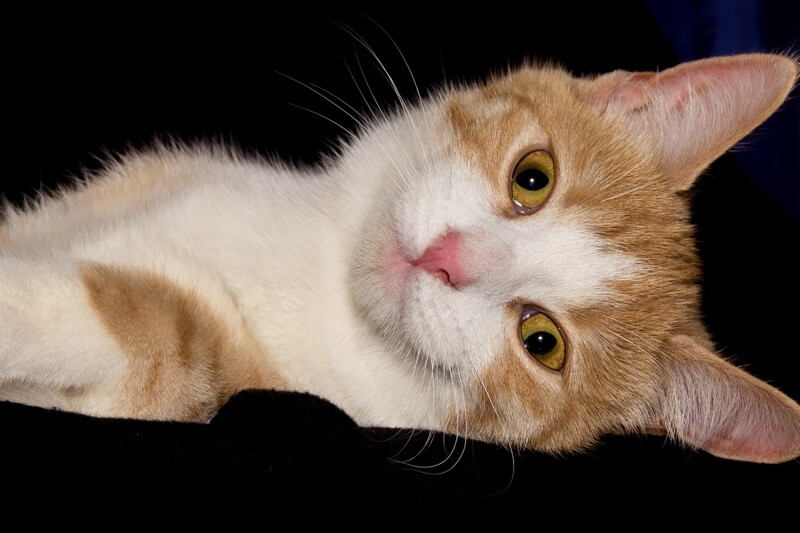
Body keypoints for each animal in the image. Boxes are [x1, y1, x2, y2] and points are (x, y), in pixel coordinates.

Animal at [0, 52, 796, 464]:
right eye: (533, 178)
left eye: (543, 342)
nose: (448, 259)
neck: (320, 264)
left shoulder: (193, 380)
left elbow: (153, 329)